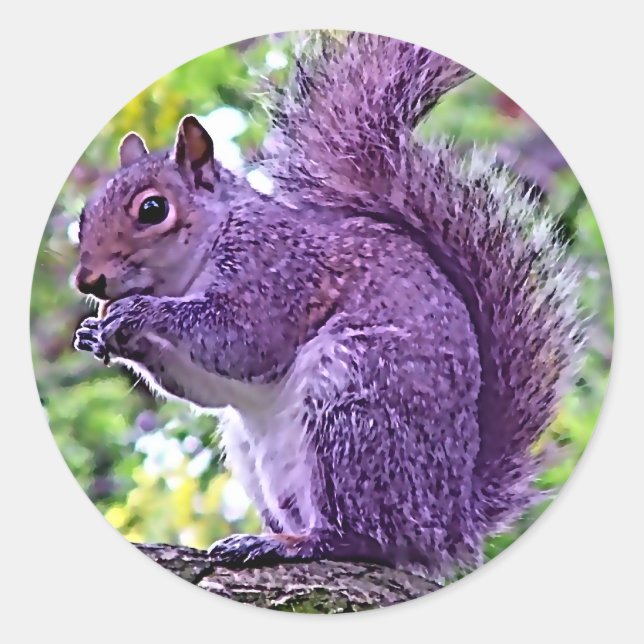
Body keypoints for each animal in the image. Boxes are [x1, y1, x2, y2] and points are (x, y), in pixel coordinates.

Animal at [73, 32, 581, 578]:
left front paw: (141, 313)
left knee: (360, 536)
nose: (86, 279)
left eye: (153, 209)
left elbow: (243, 341)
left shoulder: (277, 273)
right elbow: (207, 387)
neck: (202, 252)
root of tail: (448, 525)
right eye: (86, 213)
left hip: (352, 410)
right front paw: (100, 334)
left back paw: (288, 544)